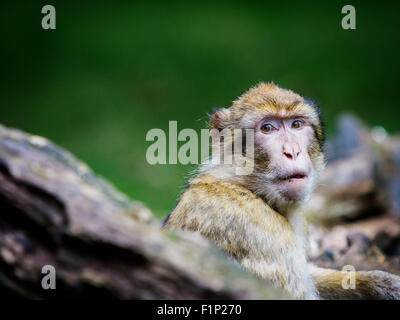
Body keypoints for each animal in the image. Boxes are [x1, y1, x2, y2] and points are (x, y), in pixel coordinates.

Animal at [162, 82, 400, 300]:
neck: (249, 189)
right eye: (267, 128)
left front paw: (381, 283)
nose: (292, 151)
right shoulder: (252, 225)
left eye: (296, 124)